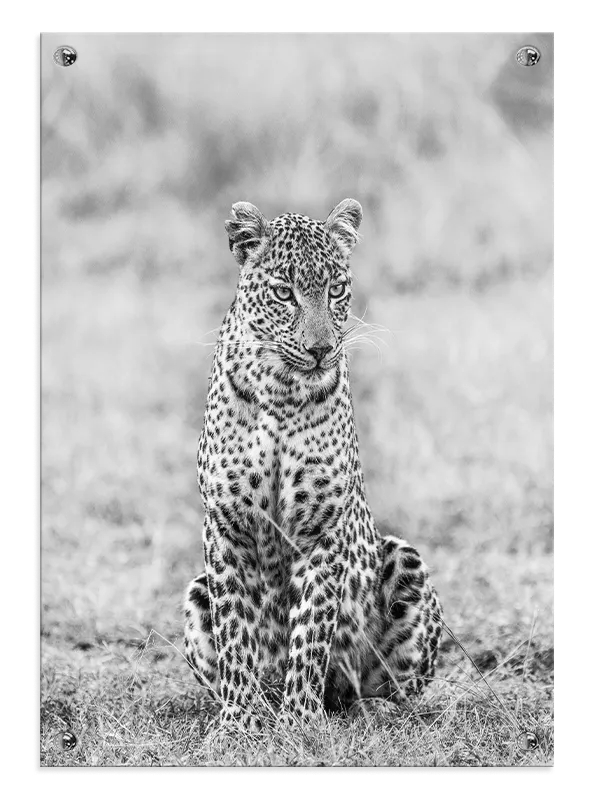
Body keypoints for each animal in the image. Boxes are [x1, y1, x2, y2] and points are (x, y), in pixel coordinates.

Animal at [183, 198, 443, 730]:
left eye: (336, 289)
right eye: (285, 293)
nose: (321, 348)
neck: (281, 391)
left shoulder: (321, 530)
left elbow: (311, 630)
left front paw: (300, 720)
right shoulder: (225, 527)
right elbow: (235, 632)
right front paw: (239, 721)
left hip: (403, 557)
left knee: (391, 688)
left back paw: (370, 708)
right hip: (195, 591)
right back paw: (261, 702)